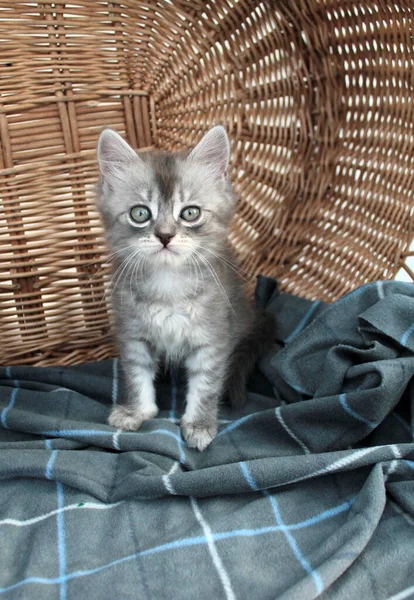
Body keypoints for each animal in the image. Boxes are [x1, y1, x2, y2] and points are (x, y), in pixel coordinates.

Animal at [95, 125, 274, 450]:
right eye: (140, 213)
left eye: (190, 213)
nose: (165, 236)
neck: (169, 286)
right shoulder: (132, 333)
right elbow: (136, 373)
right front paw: (136, 411)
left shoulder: (213, 338)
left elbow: (206, 384)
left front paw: (200, 425)